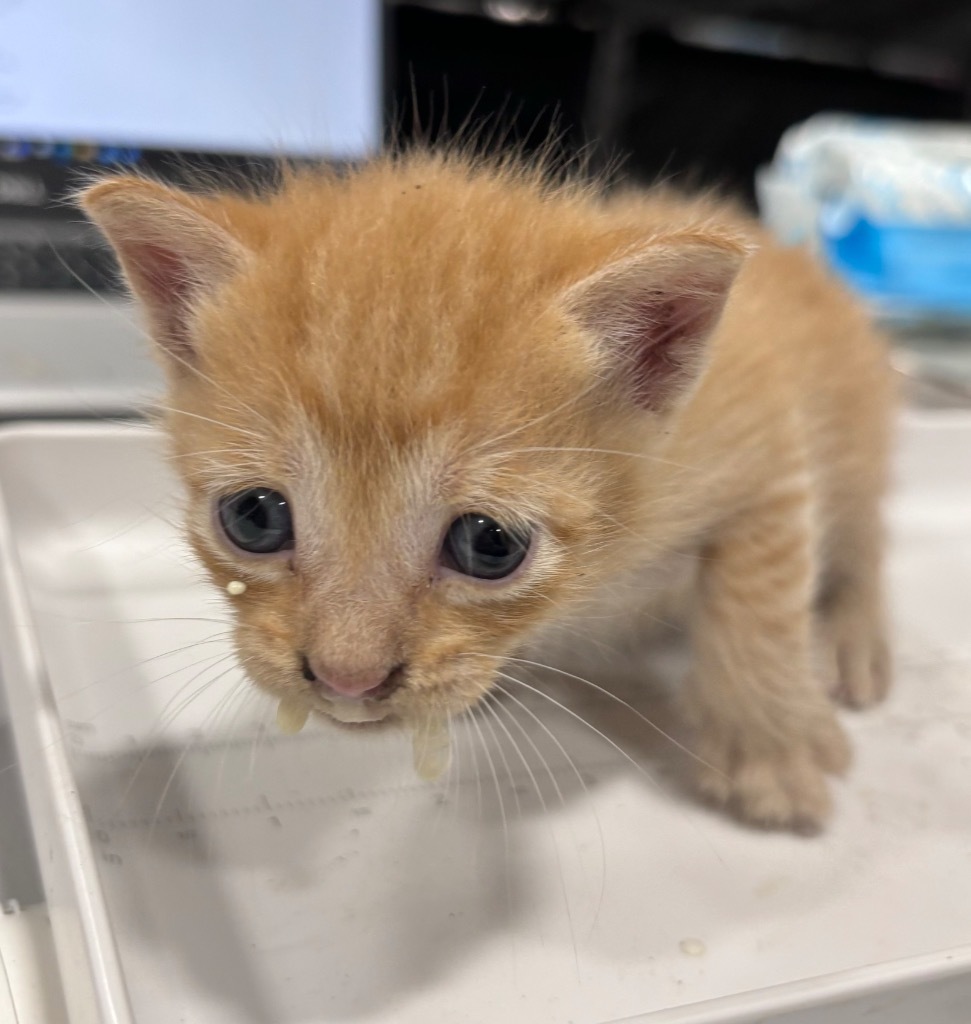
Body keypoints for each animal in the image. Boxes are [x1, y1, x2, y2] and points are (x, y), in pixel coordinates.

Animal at [81, 151, 893, 831]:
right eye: (253, 518)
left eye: (488, 544)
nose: (347, 680)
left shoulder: (765, 443)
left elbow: (760, 604)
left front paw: (770, 748)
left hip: (856, 426)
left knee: (861, 534)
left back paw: (853, 634)